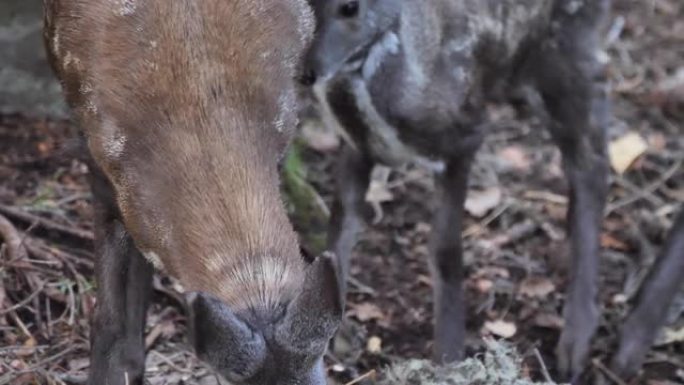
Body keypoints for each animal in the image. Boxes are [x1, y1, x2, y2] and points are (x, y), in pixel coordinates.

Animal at [302, 0, 612, 378]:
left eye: (349, 7)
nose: (306, 71)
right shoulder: (355, 147)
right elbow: (339, 232)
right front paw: (337, 338)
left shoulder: (465, 136)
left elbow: (445, 249)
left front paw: (449, 356)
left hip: (564, 52)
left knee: (591, 158)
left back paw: (575, 347)